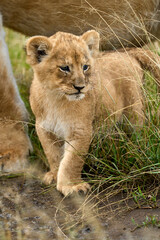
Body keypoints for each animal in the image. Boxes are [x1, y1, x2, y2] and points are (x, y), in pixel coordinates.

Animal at [0, 0, 159, 172]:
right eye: (64, 68)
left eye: (85, 67)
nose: (80, 87)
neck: (55, 99)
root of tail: (130, 53)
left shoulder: (79, 128)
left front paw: (10, 154)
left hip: (133, 110)